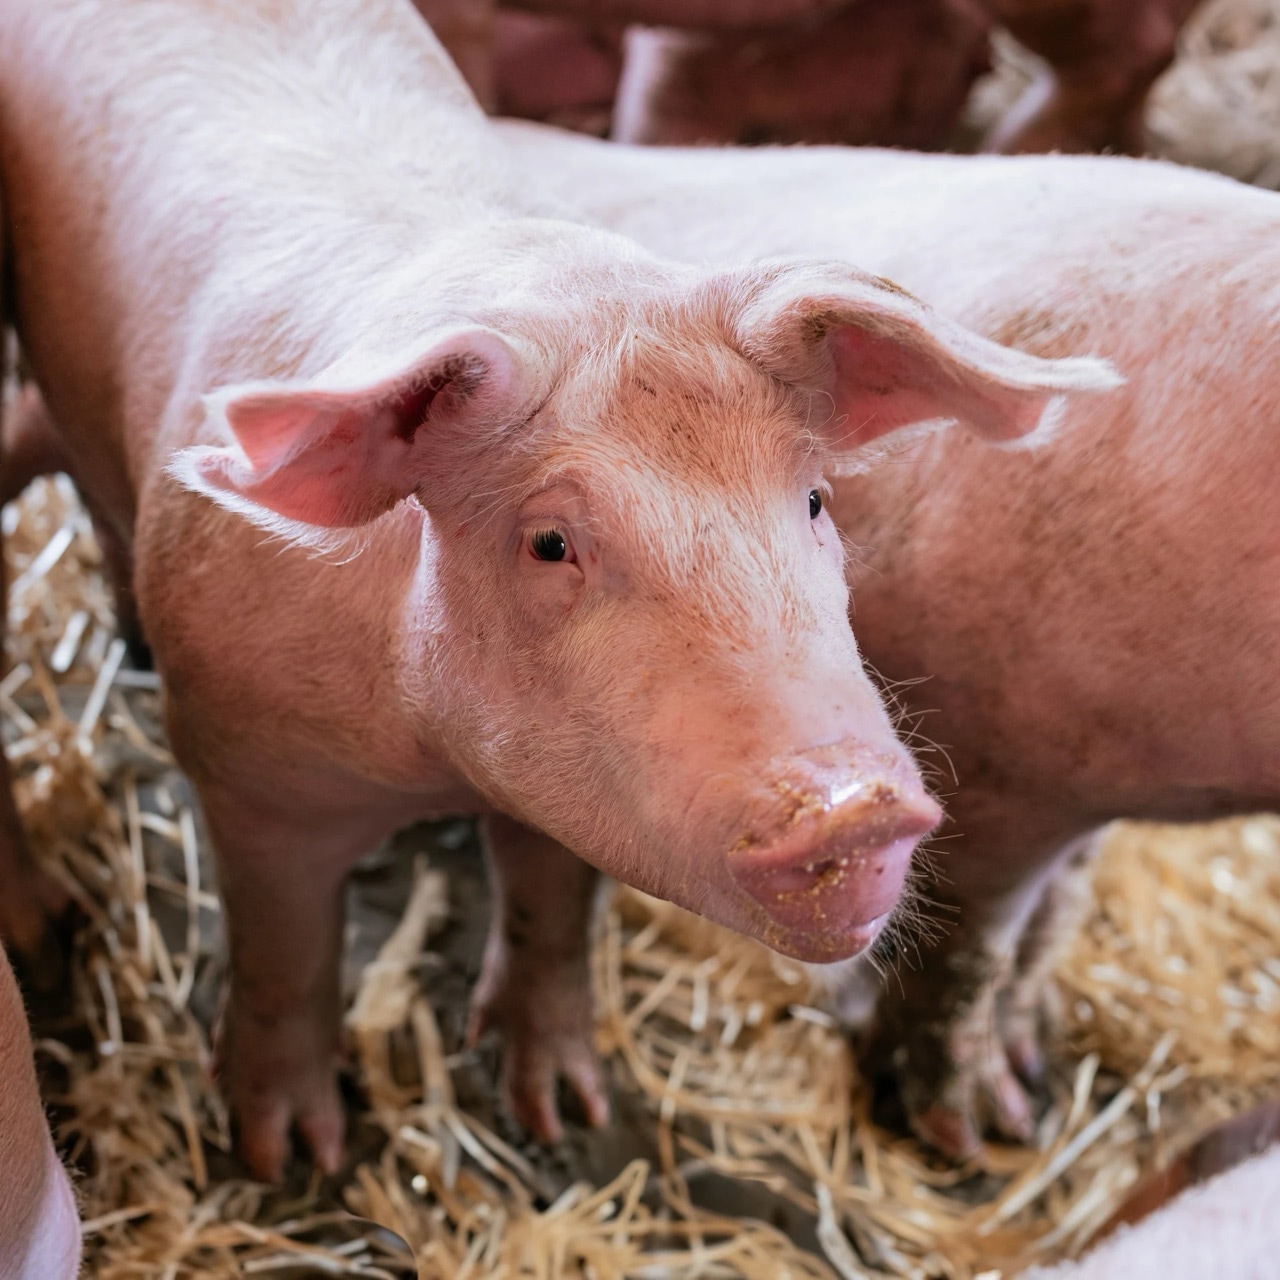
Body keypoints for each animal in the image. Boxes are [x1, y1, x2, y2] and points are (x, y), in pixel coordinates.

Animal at [0, 0, 1113, 1180]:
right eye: (548, 542)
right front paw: (290, 1155)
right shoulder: (246, 771)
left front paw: (564, 1111)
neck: (434, 759)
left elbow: (550, 912)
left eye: (814, 500)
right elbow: (284, 951)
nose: (857, 806)